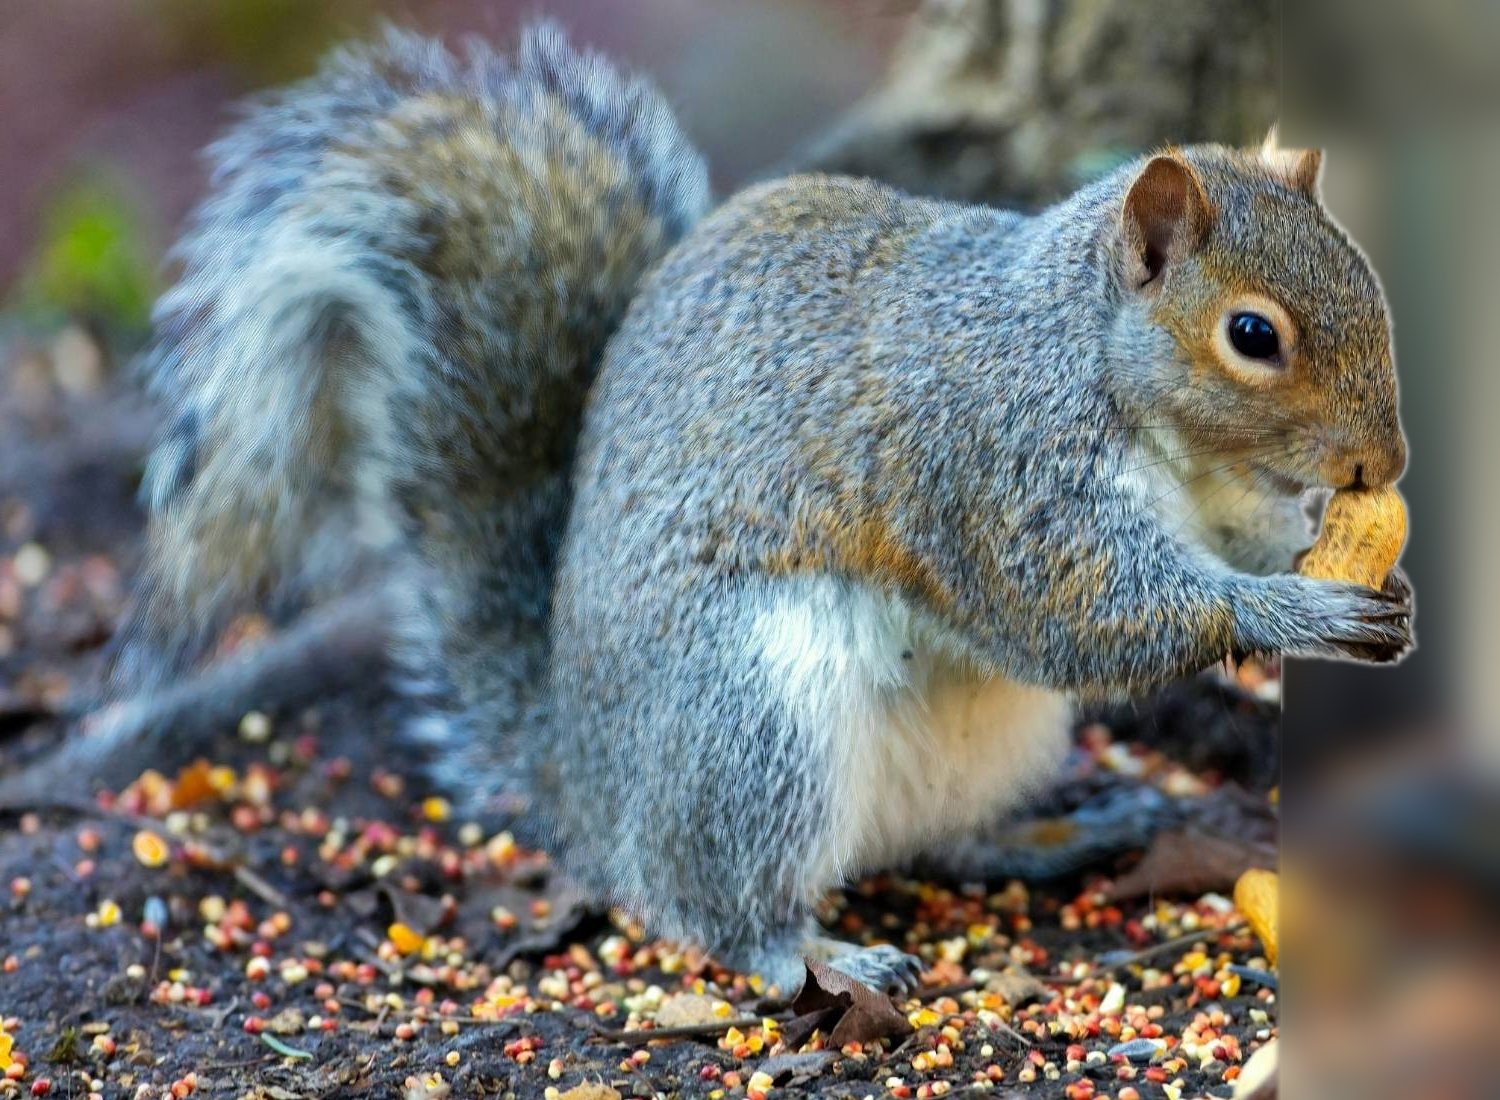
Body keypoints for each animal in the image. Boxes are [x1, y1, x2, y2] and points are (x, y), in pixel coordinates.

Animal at [96, 23, 1409, 995]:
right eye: (1253, 334)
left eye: (1364, 274)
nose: (1385, 460)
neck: (1101, 368)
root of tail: (588, 781)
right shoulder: (991, 462)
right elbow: (1077, 609)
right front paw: (1289, 609)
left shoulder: (1204, 491)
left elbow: (1228, 539)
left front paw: (1345, 566)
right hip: (751, 712)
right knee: (710, 905)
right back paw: (816, 950)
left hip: (990, 739)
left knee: (937, 838)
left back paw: (1051, 834)